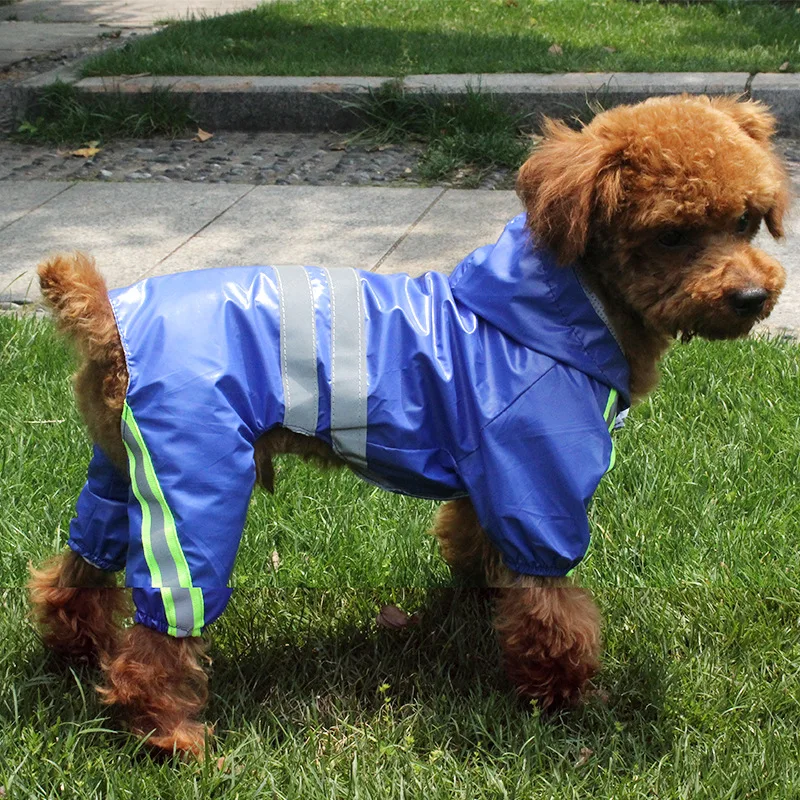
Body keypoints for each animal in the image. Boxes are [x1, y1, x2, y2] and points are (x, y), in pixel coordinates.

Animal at [29, 95, 788, 756]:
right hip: (193, 477)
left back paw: (74, 652)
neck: (560, 312)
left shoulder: (493, 476)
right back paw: (166, 732)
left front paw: (478, 605)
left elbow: (477, 545)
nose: (754, 295)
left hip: (120, 470)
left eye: (749, 221)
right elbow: (553, 608)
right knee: (163, 626)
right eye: (672, 235)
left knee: (80, 567)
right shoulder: (540, 487)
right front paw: (563, 698)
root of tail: (104, 316)